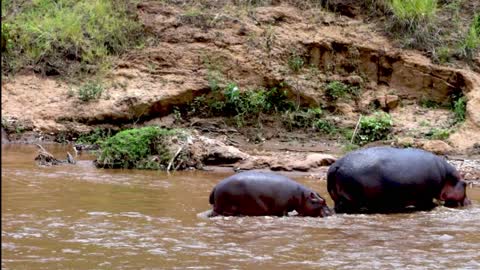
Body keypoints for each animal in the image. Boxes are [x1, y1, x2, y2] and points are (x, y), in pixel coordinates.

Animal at [328, 147, 470, 214]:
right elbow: (429, 204)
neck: (447, 176)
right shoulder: (426, 197)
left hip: (339, 198)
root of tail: (337, 164)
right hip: (351, 199)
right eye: (465, 184)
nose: (470, 202)